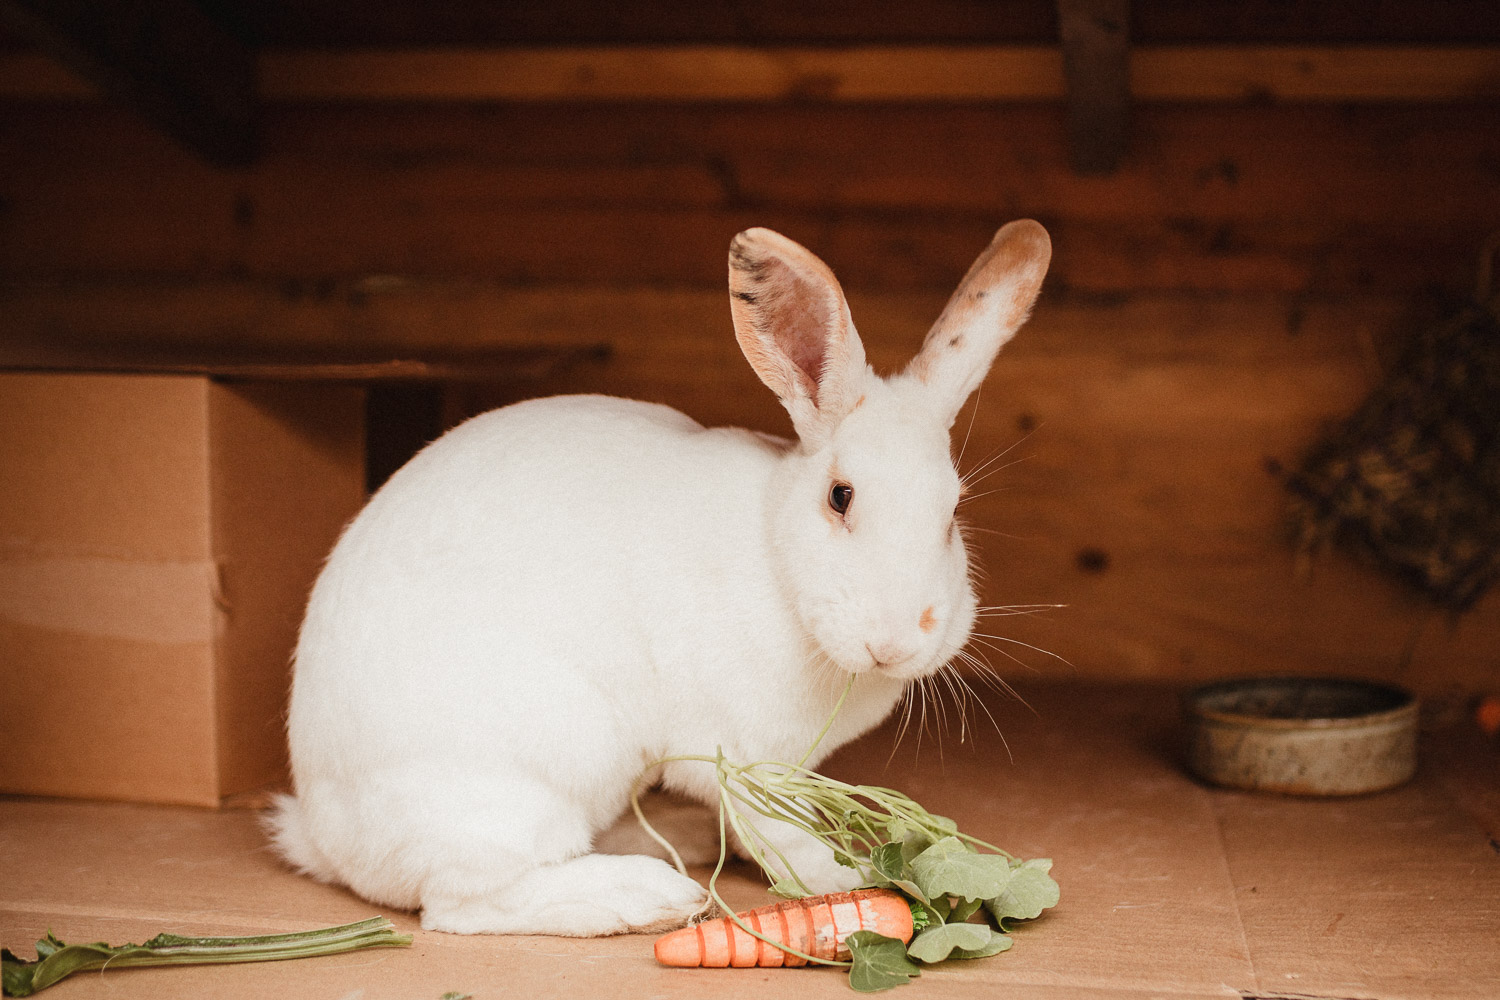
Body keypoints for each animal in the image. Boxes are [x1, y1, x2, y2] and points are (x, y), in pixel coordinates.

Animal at [261, 217, 1056, 941]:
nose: (897, 641)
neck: (774, 557)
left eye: (953, 511)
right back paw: (647, 897)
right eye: (840, 496)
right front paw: (850, 876)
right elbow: (782, 838)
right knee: (462, 904)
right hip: (521, 786)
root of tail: (323, 838)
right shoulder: (741, 759)